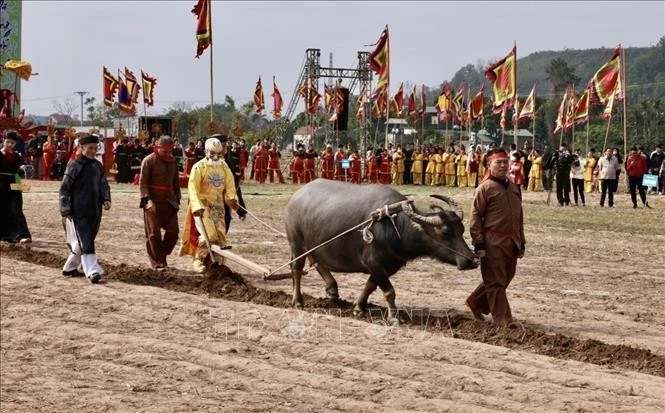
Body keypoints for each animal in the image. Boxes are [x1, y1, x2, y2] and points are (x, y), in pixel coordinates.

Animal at [284, 179, 478, 320]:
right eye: (445, 233)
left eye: (461, 229)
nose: (471, 260)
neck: (394, 225)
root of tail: (295, 197)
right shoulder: (374, 263)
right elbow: (389, 291)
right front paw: (394, 317)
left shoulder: (388, 266)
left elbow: (371, 285)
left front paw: (359, 307)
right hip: (296, 243)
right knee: (297, 268)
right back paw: (298, 301)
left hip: (313, 244)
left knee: (316, 261)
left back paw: (332, 290)